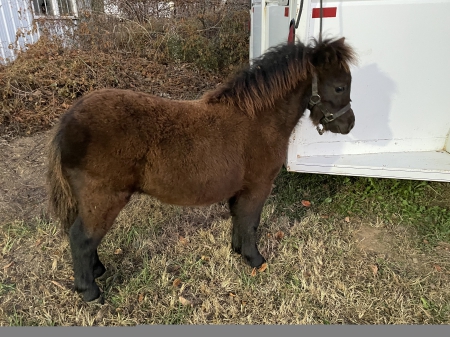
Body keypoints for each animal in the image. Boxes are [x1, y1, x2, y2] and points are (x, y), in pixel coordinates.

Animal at [45, 37, 356, 302]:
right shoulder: (259, 186)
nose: (349, 124)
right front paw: (255, 261)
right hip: (104, 198)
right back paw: (90, 292)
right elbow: (251, 223)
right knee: (82, 238)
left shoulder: (241, 189)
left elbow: (239, 220)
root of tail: (68, 120)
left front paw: (238, 251)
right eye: (340, 87)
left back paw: (97, 271)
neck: (258, 120)